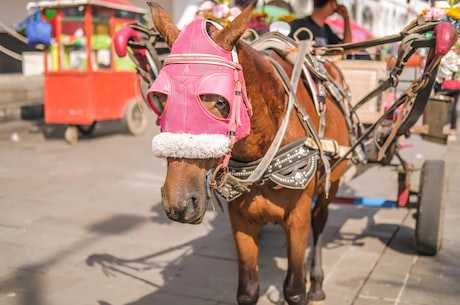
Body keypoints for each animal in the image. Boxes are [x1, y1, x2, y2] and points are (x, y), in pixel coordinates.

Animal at [147, 1, 352, 302]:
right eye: (160, 99)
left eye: (221, 103)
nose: (180, 202)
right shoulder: (241, 221)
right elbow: (248, 290)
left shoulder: (298, 218)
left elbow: (294, 290)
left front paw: (305, 287)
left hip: (332, 182)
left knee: (320, 222)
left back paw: (316, 283)